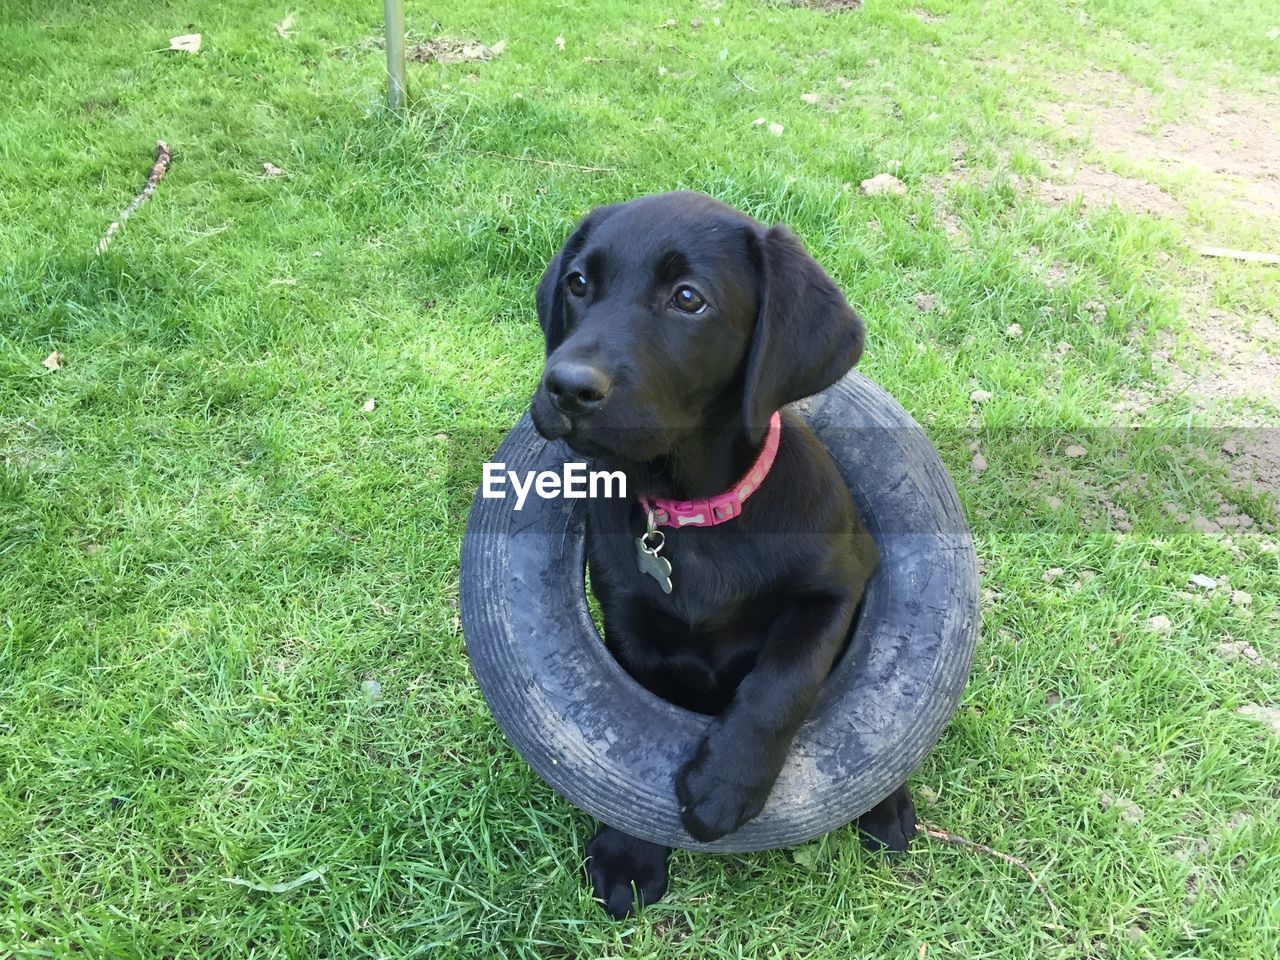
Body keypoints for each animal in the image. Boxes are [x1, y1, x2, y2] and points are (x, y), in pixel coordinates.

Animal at [524, 192, 916, 921]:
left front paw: (726, 785)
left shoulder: (841, 582)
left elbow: (784, 677)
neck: (693, 516)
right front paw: (629, 851)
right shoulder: (630, 629)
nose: (565, 387)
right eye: (579, 283)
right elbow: (625, 747)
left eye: (688, 299)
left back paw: (886, 805)